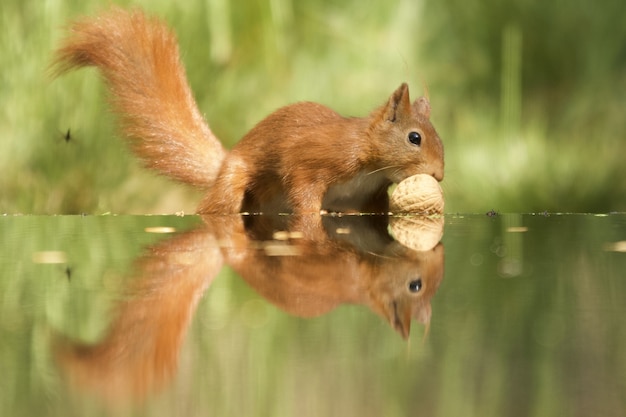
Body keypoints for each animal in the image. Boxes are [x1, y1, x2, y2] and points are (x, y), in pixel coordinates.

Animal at [53, 7, 444, 213]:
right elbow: (302, 191)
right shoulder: (313, 160)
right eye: (414, 138)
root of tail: (225, 163)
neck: (367, 160)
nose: (439, 176)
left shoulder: (367, 200)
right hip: (235, 184)